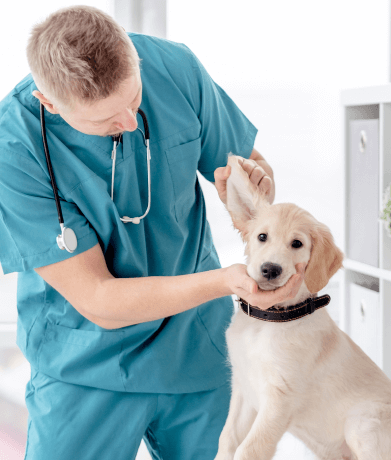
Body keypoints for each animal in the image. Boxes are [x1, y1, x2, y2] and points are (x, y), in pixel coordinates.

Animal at [216, 155, 391, 460]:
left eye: (297, 243)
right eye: (262, 237)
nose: (270, 269)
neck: (269, 320)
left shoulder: (279, 398)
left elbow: (248, 450)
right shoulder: (243, 389)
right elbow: (227, 440)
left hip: (363, 424)